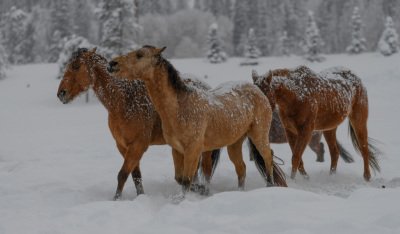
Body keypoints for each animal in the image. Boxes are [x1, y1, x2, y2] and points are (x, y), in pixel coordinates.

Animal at [56, 47, 220, 199]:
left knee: (206, 169)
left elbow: (122, 174)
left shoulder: (138, 145)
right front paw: (140, 196)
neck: (123, 102)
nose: (61, 94)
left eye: (76, 66)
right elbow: (135, 176)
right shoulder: (123, 146)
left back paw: (203, 190)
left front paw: (116, 199)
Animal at [108, 45, 286, 196]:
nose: (112, 64)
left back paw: (269, 186)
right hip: (234, 143)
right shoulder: (177, 150)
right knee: (241, 168)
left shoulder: (193, 150)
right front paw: (200, 190)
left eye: (139, 55)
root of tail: (258, 91)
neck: (180, 108)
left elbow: (187, 180)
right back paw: (239, 192)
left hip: (259, 134)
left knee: (267, 157)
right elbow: (180, 178)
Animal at [252, 66, 380, 181]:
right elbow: (298, 158)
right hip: (329, 128)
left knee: (364, 149)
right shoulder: (290, 131)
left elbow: (296, 157)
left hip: (359, 121)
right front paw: (304, 178)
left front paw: (294, 180)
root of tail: (357, 79)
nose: (257, 116)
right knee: (335, 153)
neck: (296, 94)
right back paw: (332, 177)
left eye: (264, 93)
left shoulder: (306, 131)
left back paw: (366, 177)